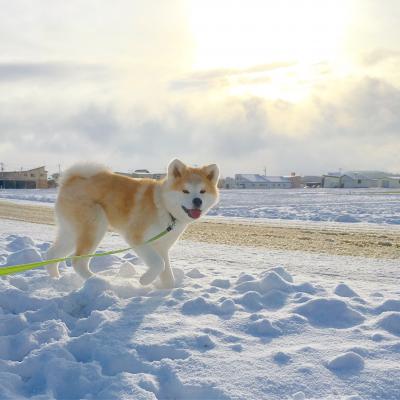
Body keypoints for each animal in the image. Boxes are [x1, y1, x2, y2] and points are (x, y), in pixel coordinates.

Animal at [47, 159, 222, 288]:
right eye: (185, 191)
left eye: (202, 191)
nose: (197, 201)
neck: (163, 206)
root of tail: (70, 180)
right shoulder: (137, 238)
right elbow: (158, 264)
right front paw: (144, 281)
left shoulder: (161, 246)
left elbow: (167, 272)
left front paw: (165, 290)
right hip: (94, 228)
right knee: (78, 261)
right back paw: (100, 282)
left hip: (71, 233)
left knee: (52, 255)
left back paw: (55, 279)